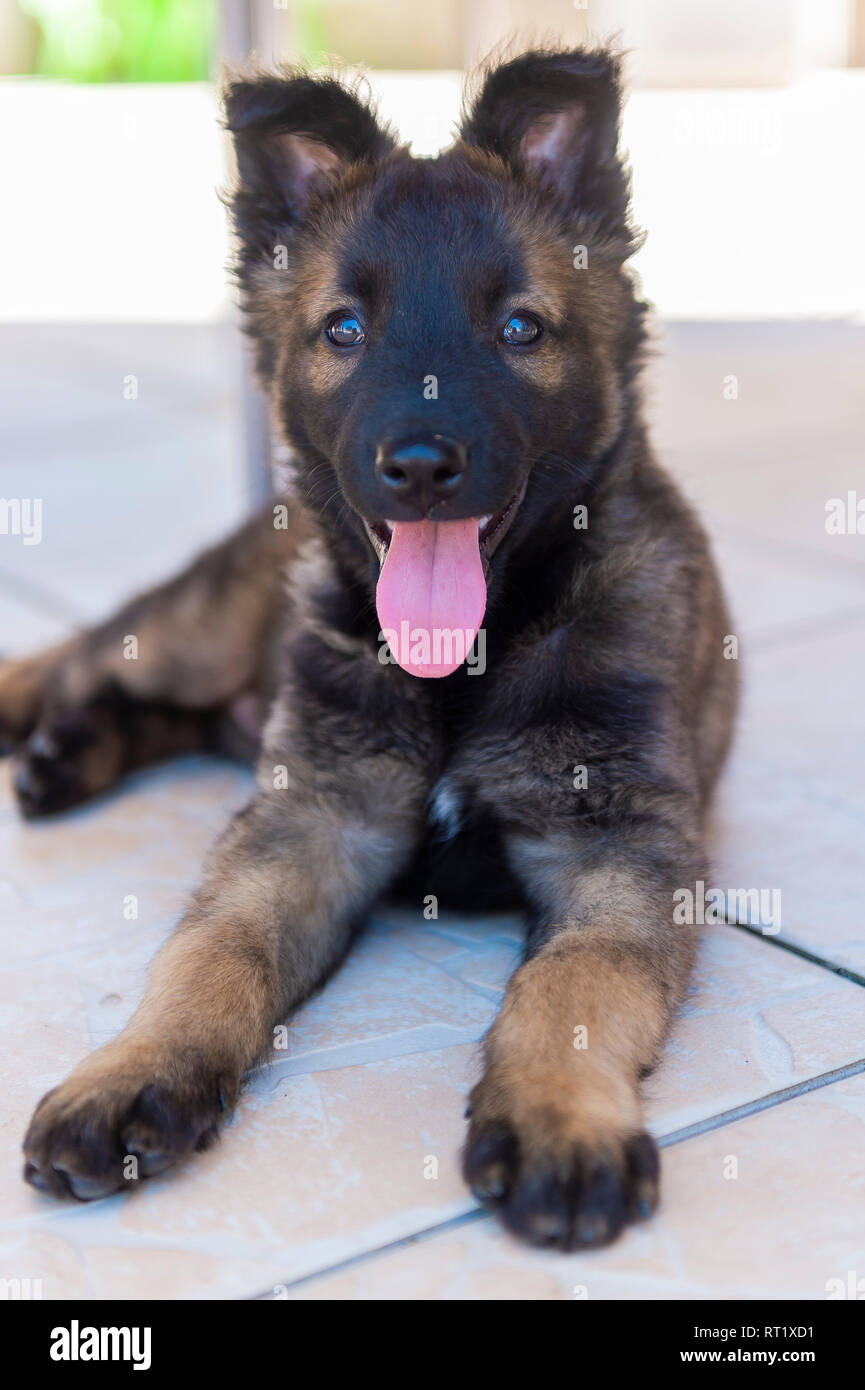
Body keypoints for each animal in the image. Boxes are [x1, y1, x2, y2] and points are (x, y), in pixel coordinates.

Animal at [3, 51, 739, 1251]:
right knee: (73, 659)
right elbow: (209, 949)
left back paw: (65, 760)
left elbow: (575, 987)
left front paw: (558, 1119)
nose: (423, 465)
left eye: (521, 329)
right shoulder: (311, 819)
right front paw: (133, 1070)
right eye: (343, 330)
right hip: (193, 636)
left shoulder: (620, 847)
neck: (471, 658)